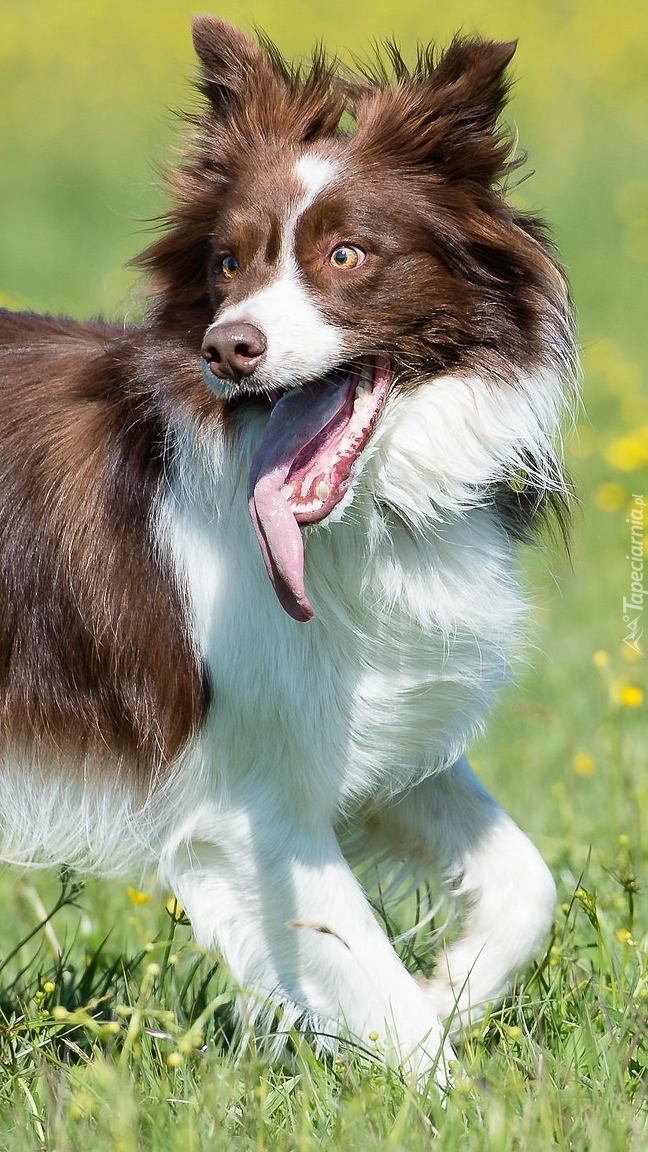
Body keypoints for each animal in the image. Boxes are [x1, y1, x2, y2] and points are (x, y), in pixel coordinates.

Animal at [0, 15, 574, 1078]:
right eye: (229, 264)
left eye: (347, 255)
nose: (230, 347)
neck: (358, 521)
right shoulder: (247, 801)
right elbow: (382, 992)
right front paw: (448, 1082)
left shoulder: (367, 722)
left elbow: (526, 885)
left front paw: (455, 989)